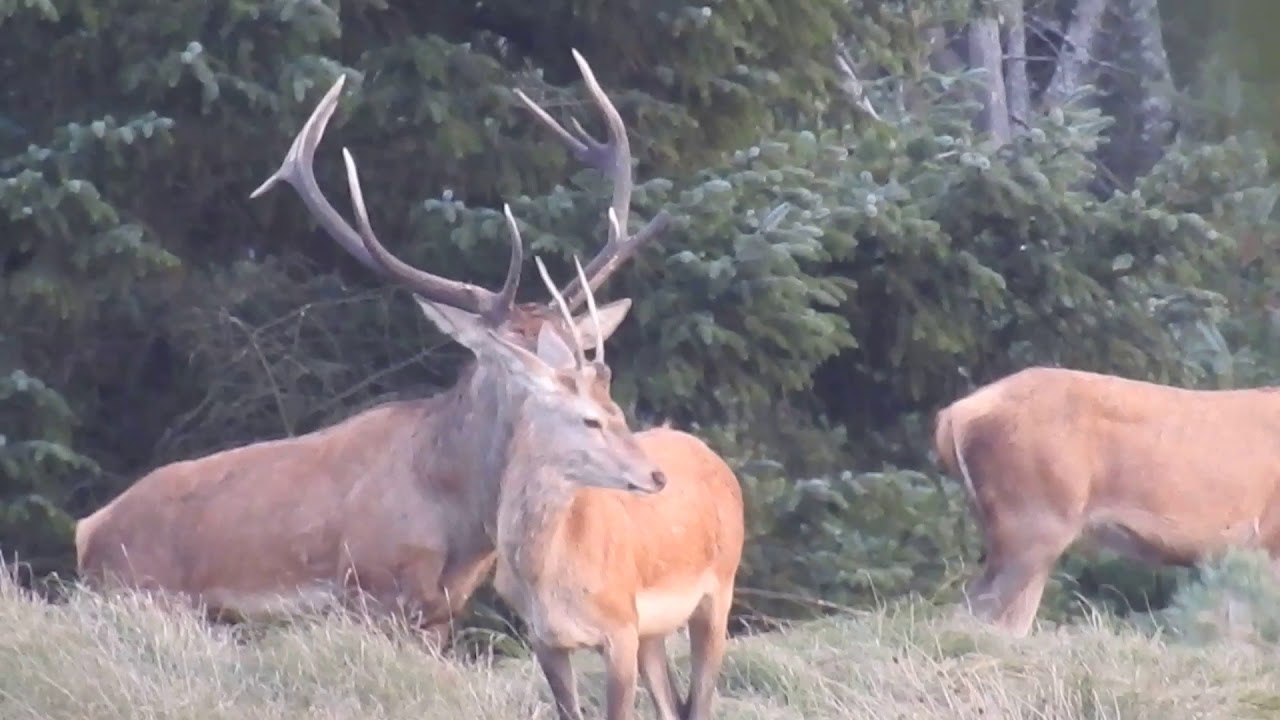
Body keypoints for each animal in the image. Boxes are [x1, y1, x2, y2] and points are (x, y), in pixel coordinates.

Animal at [75, 50, 670, 647]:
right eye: (509, 357)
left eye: (577, 347)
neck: (459, 524)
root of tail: (87, 531)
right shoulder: (369, 587)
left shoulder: (442, 613)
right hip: (146, 590)